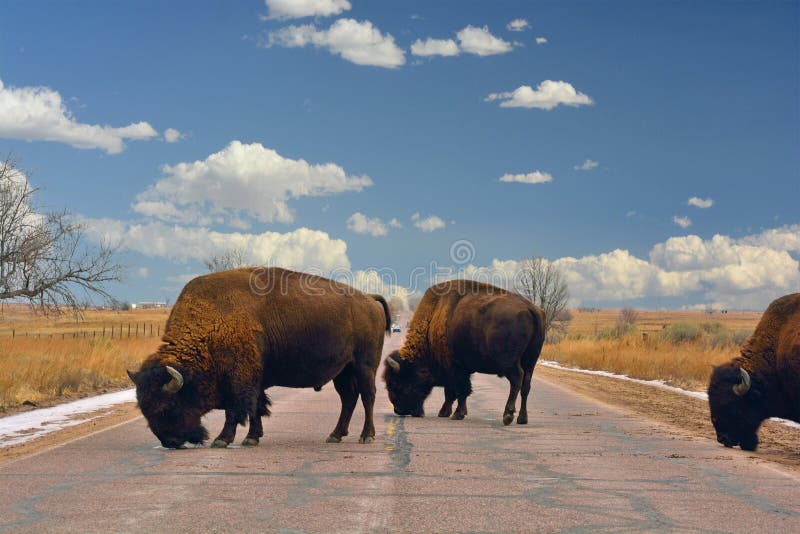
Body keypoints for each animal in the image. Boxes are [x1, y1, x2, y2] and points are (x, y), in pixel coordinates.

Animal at [127, 267, 390, 448]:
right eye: (144, 409)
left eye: (168, 407)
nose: (170, 442)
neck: (210, 326)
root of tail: (369, 299)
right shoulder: (254, 381)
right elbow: (256, 408)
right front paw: (252, 438)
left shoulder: (238, 381)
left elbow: (236, 411)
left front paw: (222, 440)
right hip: (342, 371)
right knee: (349, 399)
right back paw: (335, 435)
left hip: (364, 366)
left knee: (367, 396)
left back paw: (366, 436)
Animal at [383, 280, 545, 425]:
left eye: (395, 382)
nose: (398, 410)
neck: (434, 321)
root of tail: (531, 309)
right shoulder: (461, 370)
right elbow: (456, 392)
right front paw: (447, 412)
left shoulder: (455, 368)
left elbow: (458, 391)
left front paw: (456, 414)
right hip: (530, 361)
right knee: (526, 385)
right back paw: (522, 419)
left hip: (509, 363)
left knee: (517, 380)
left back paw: (508, 416)